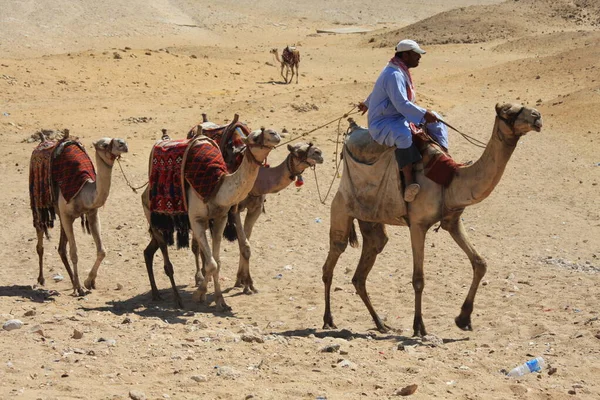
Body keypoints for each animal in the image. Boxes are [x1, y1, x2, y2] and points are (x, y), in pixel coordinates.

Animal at [29, 133, 128, 296]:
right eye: (104, 145)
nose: (123, 144)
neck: (83, 190)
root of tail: (42, 142)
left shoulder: (92, 213)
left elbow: (102, 251)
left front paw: (89, 282)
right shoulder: (66, 215)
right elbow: (74, 252)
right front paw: (81, 288)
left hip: (60, 213)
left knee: (61, 248)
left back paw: (73, 282)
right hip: (40, 203)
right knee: (40, 240)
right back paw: (42, 279)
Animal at [142, 126, 280, 310]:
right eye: (255, 136)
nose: (275, 134)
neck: (217, 186)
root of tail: (145, 192)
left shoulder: (221, 218)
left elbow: (216, 261)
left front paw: (220, 300)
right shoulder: (197, 219)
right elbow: (211, 263)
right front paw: (199, 294)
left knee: (148, 252)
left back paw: (156, 294)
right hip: (154, 218)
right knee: (166, 258)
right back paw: (177, 299)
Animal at [191, 141, 324, 294]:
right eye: (299, 151)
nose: (319, 153)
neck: (258, 181)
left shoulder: (256, 209)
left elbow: (245, 243)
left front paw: (242, 281)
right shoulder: (235, 210)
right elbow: (245, 247)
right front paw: (248, 284)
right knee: (196, 242)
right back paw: (199, 277)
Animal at [324, 104, 544, 338]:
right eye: (508, 112)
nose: (537, 116)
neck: (451, 181)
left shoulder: (452, 221)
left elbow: (480, 263)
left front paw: (463, 319)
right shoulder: (418, 225)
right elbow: (418, 279)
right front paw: (419, 327)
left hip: (371, 219)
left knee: (364, 267)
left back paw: (381, 324)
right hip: (341, 208)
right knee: (331, 261)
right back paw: (328, 320)